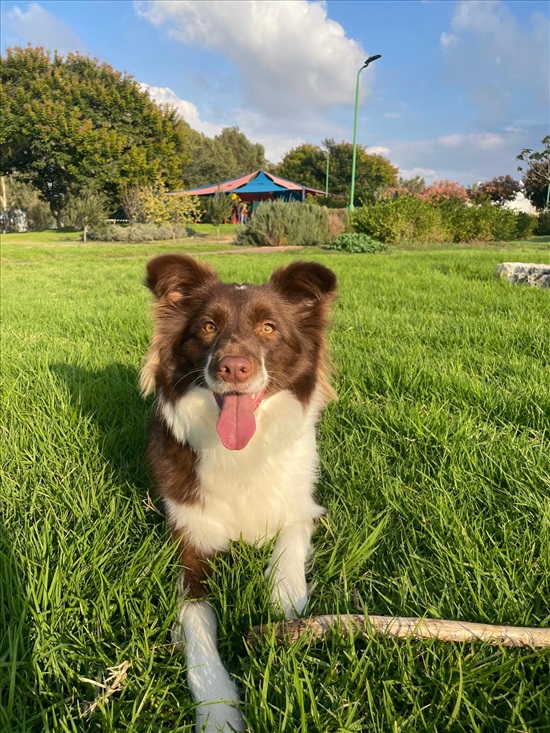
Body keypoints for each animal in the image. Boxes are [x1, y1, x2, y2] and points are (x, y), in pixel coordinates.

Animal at [140, 253, 338, 732]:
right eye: (208, 326)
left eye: (268, 328)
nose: (233, 367)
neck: (240, 453)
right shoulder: (188, 542)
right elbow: (197, 624)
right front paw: (218, 709)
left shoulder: (304, 506)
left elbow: (289, 542)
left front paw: (284, 600)